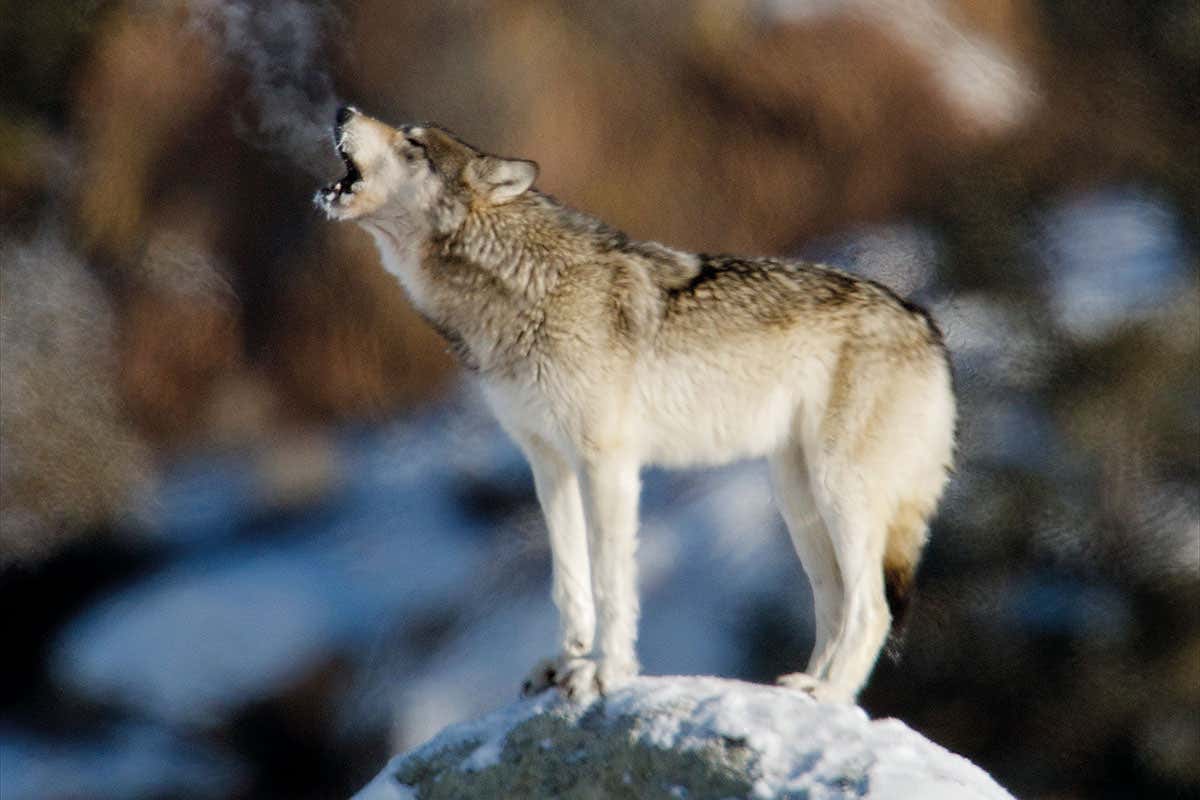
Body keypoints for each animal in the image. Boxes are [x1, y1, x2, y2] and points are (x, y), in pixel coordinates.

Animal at [316, 107, 956, 703]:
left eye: (413, 141)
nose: (343, 111)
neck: (521, 287)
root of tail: (925, 324)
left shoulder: (607, 464)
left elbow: (609, 581)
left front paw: (605, 673)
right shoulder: (548, 463)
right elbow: (568, 581)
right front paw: (565, 664)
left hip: (839, 491)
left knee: (871, 608)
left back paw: (828, 694)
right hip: (798, 501)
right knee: (834, 602)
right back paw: (800, 689)